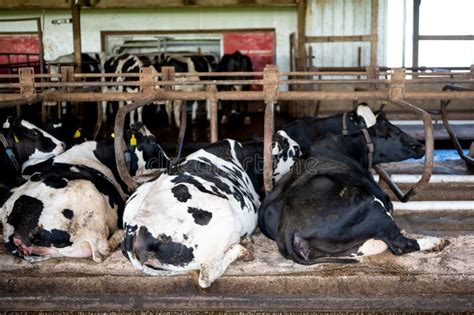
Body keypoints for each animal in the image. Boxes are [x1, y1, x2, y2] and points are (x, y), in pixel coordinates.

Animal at [122, 131, 300, 288]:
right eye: (293, 151)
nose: (299, 148)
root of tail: (135, 228)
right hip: (223, 219)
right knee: (206, 276)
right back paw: (242, 249)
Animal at [258, 112, 446, 266]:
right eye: (397, 133)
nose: (422, 146)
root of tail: (288, 225)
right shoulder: (381, 196)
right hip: (370, 205)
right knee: (400, 244)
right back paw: (437, 242)